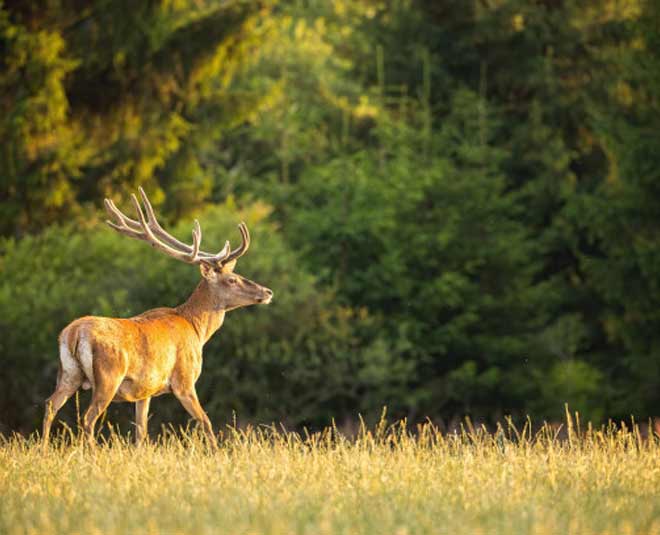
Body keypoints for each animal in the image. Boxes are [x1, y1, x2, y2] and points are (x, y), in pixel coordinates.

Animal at [42, 188, 273, 449]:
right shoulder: (184, 380)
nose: (267, 292)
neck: (196, 328)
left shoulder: (145, 391)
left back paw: (43, 449)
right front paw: (217, 452)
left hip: (68, 374)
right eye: (232, 279)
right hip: (108, 375)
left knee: (50, 404)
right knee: (88, 418)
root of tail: (73, 334)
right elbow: (205, 422)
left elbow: (141, 432)